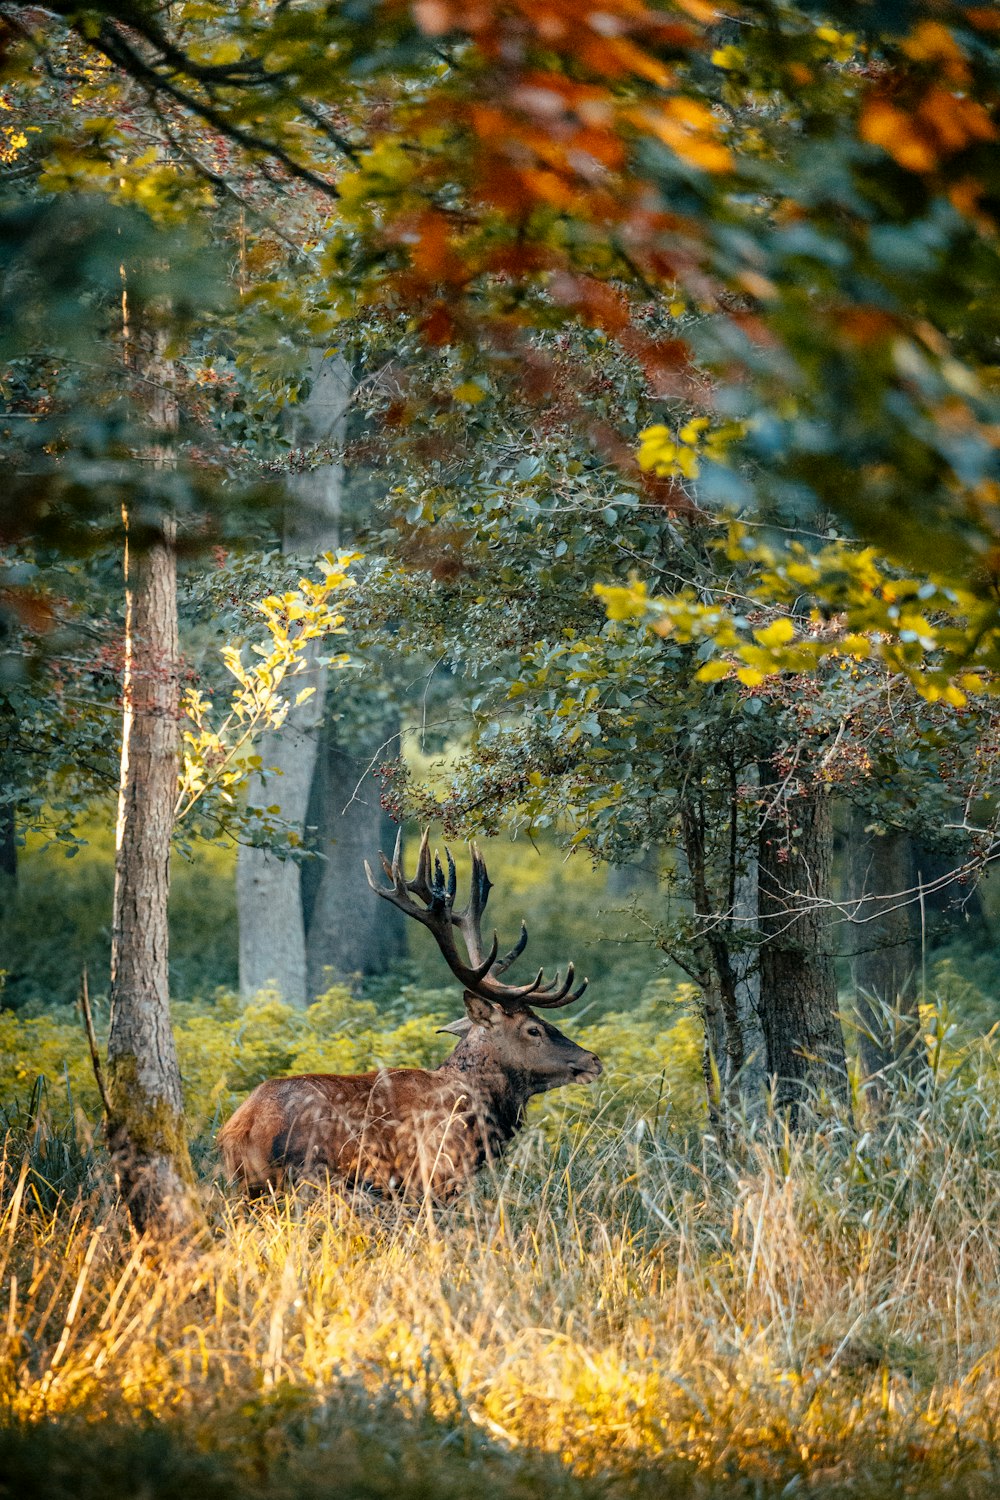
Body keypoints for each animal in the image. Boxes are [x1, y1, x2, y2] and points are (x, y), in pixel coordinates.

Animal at [217, 828, 602, 1200]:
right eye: (533, 1029)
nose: (594, 1059)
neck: (478, 1111)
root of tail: (240, 1129)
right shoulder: (434, 1177)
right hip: (309, 1180)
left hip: (246, 1190)